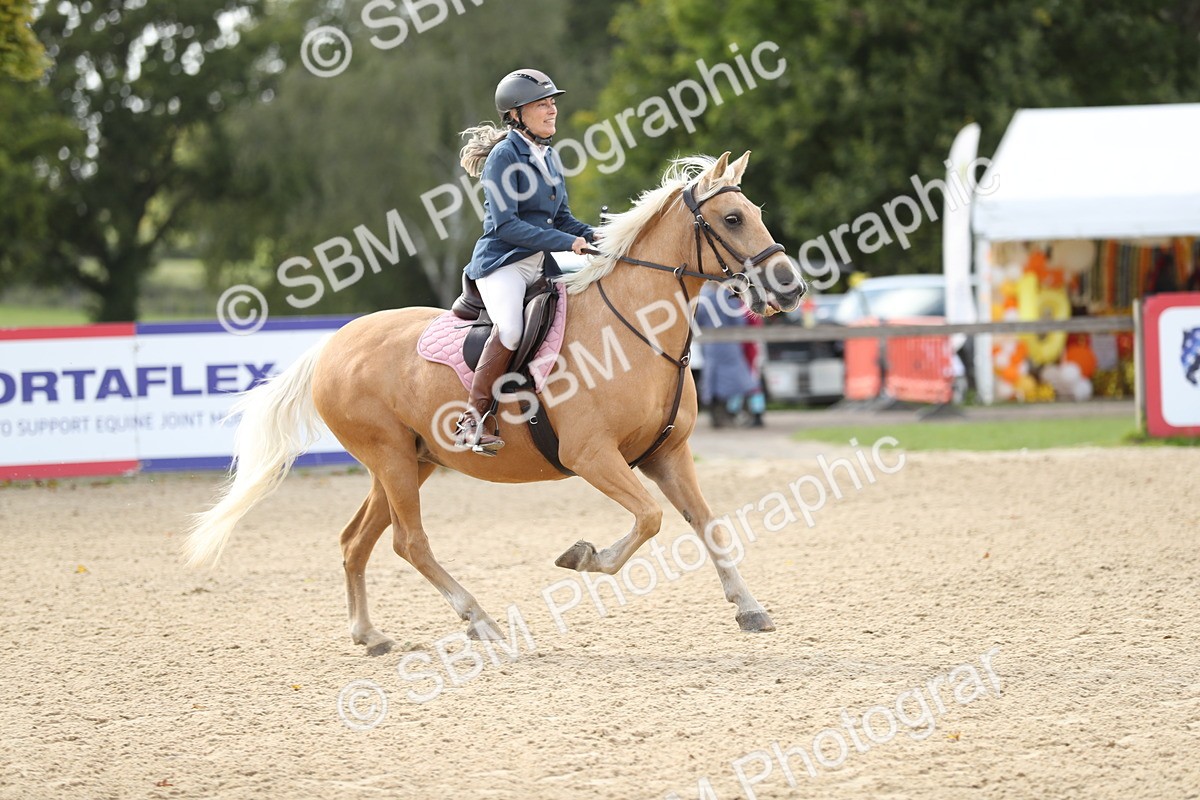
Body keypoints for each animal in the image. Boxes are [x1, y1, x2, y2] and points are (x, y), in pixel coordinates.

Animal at [184, 151, 807, 655]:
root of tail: (335, 342)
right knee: (409, 542)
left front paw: (749, 608)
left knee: (356, 540)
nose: (790, 287)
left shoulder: (667, 454)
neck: (634, 329)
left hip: (408, 463)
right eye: (732, 219)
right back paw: (480, 621)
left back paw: (370, 634)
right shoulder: (592, 456)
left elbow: (707, 523)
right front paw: (582, 557)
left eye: (754, 211)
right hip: (390, 460)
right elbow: (650, 519)